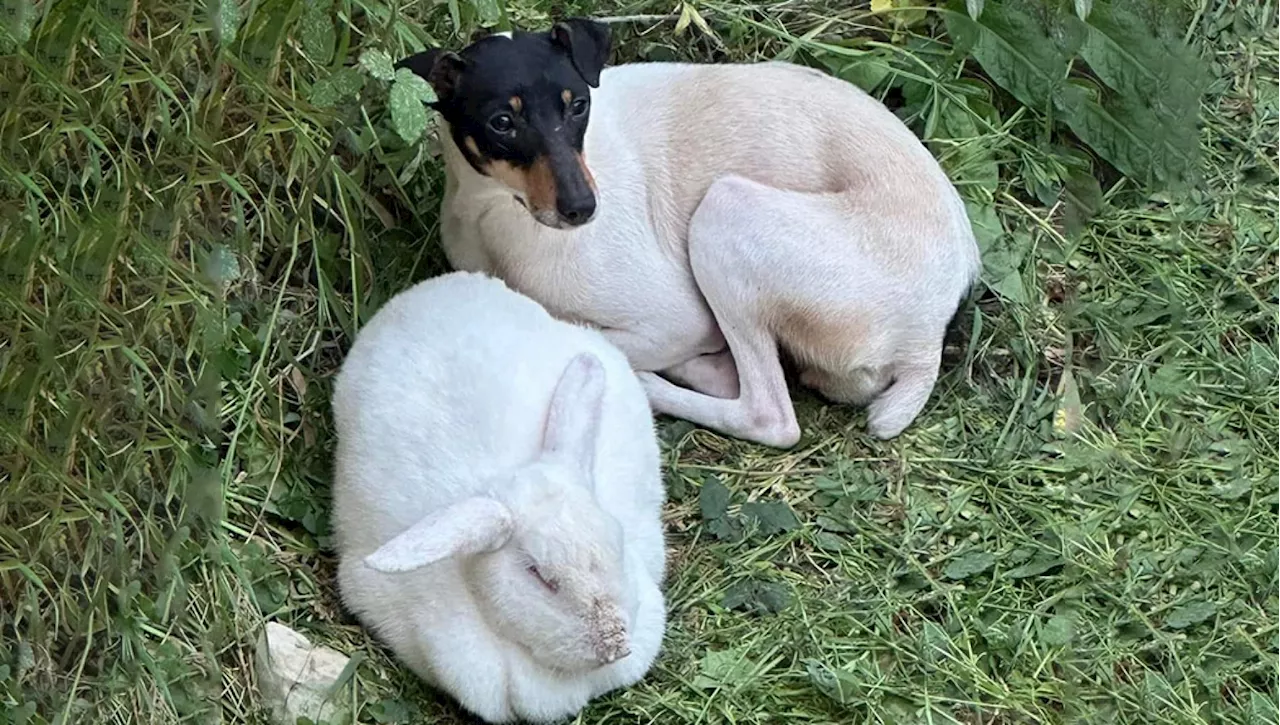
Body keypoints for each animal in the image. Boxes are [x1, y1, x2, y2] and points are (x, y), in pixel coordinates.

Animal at [396, 18, 977, 448]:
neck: (495, 214)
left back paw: (657, 382)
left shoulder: (680, 316)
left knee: (767, 414)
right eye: (502, 122)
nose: (584, 209)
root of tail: (927, 337)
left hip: (725, 213)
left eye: (578, 105)